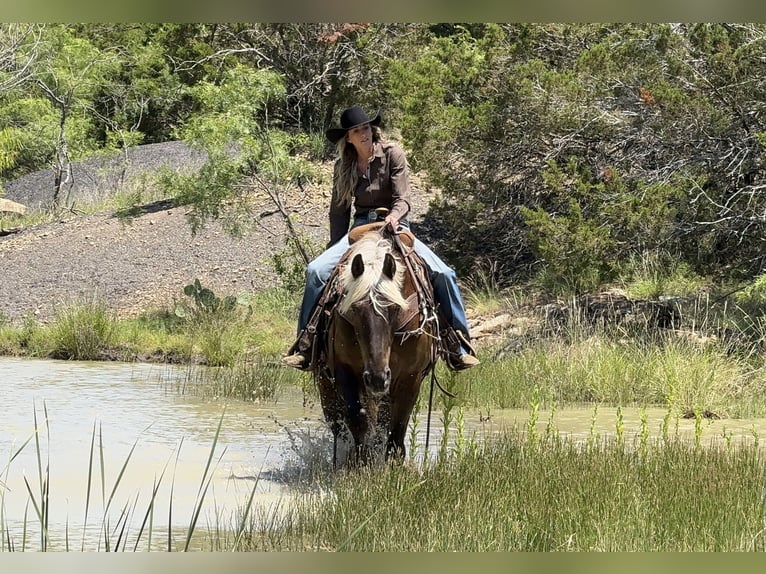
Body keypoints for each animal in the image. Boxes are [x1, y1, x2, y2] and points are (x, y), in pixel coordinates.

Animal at [314, 223, 438, 466]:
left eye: (395, 308)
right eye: (355, 309)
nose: (377, 378)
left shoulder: (411, 377)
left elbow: (397, 429)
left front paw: (392, 465)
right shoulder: (344, 371)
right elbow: (357, 420)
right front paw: (360, 462)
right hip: (326, 385)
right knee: (338, 425)